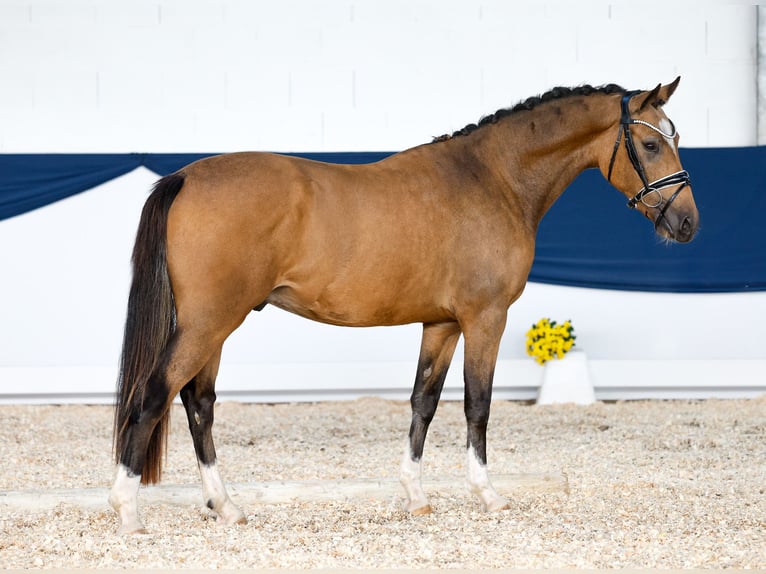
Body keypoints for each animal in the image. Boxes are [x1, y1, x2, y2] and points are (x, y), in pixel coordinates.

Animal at [109, 76, 704, 536]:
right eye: (650, 144)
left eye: (674, 138)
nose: (687, 224)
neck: (492, 179)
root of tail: (187, 176)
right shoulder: (485, 318)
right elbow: (477, 405)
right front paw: (487, 494)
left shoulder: (441, 323)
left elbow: (424, 402)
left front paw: (416, 497)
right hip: (209, 323)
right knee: (154, 395)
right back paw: (129, 511)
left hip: (212, 327)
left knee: (199, 405)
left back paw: (226, 506)